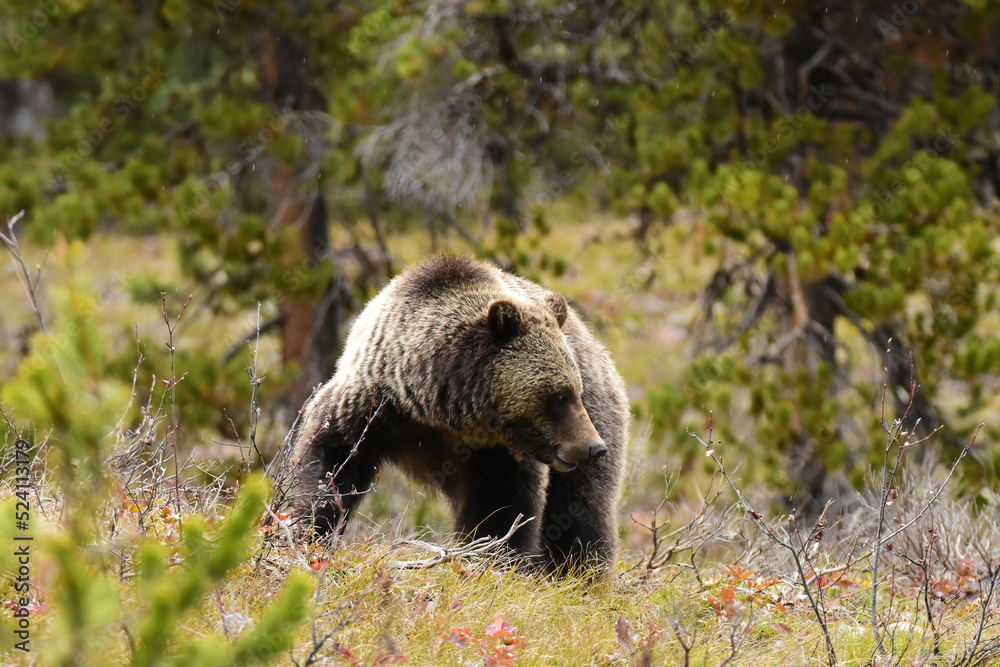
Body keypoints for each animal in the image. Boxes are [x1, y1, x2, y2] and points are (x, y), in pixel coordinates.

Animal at [283, 255, 630, 573]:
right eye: (559, 395)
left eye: (574, 391)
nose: (593, 447)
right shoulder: (372, 407)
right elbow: (332, 461)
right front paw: (312, 530)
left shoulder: (496, 454)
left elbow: (503, 504)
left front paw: (497, 559)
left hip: (601, 417)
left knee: (580, 511)